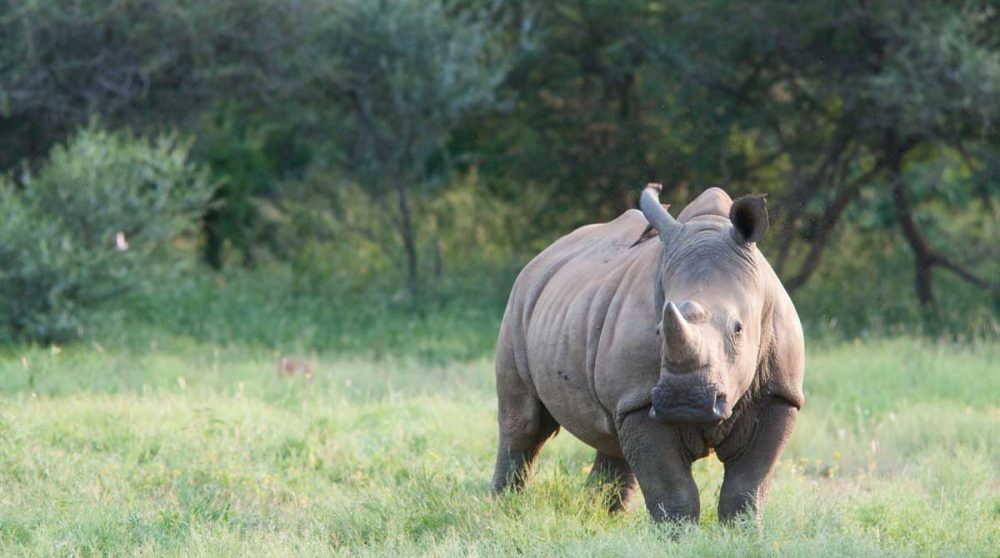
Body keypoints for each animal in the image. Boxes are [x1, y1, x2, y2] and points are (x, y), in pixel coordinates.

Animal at [492, 184, 804, 523]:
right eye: (657, 332)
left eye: (738, 329)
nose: (686, 402)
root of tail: (543, 255)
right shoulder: (639, 398)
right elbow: (672, 489)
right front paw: (677, 533)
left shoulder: (779, 393)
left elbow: (747, 486)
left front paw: (741, 531)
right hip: (520, 301)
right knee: (524, 425)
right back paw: (505, 508)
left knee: (612, 441)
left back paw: (604, 520)